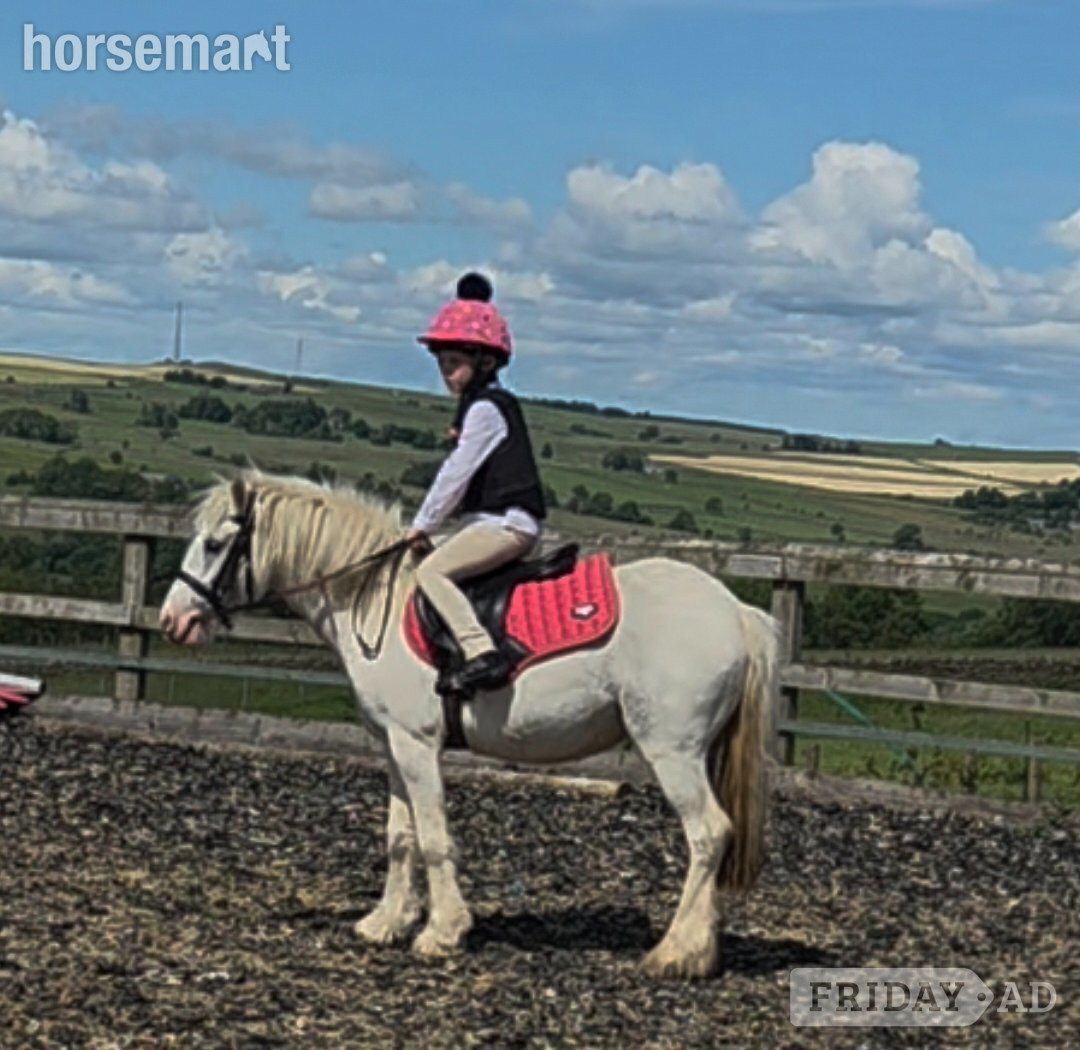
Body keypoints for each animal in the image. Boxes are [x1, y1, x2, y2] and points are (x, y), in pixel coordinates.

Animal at [159, 470, 780, 979]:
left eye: (215, 544)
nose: (172, 620)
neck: (372, 599)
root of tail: (735, 611)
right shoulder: (391, 746)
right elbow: (400, 836)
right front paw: (385, 923)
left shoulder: (416, 745)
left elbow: (434, 838)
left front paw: (441, 932)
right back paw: (702, 949)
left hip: (672, 750)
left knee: (708, 833)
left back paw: (676, 953)